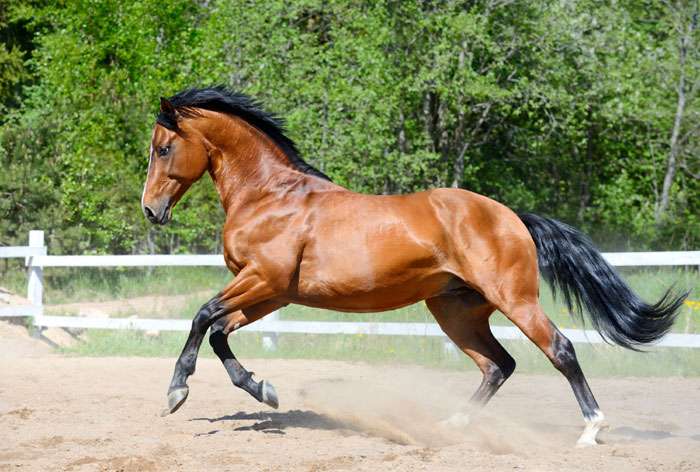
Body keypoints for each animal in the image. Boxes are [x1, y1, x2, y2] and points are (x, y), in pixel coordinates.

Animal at [141, 86, 687, 446]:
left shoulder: (262, 280)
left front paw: (176, 392)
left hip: (514, 299)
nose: (150, 210)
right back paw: (451, 426)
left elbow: (201, 316)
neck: (271, 197)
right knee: (498, 365)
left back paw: (592, 429)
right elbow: (218, 331)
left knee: (560, 349)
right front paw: (264, 390)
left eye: (163, 148)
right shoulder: (272, 292)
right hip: (455, 310)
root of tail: (512, 217)